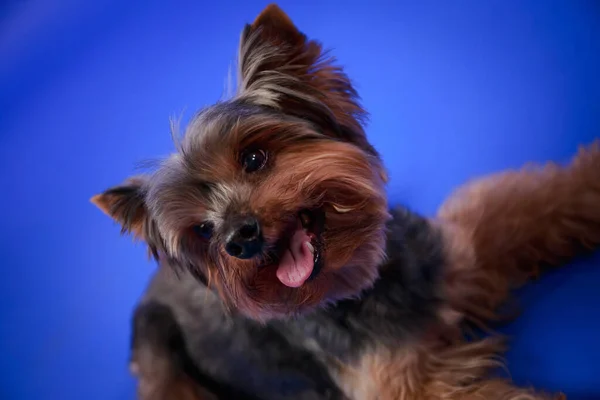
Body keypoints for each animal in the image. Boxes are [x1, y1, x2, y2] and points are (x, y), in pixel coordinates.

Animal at [91, 3, 600, 400]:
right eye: (203, 230)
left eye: (254, 157)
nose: (237, 239)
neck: (364, 286)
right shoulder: (400, 384)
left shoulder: (459, 249)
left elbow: (532, 204)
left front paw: (589, 181)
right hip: (158, 352)